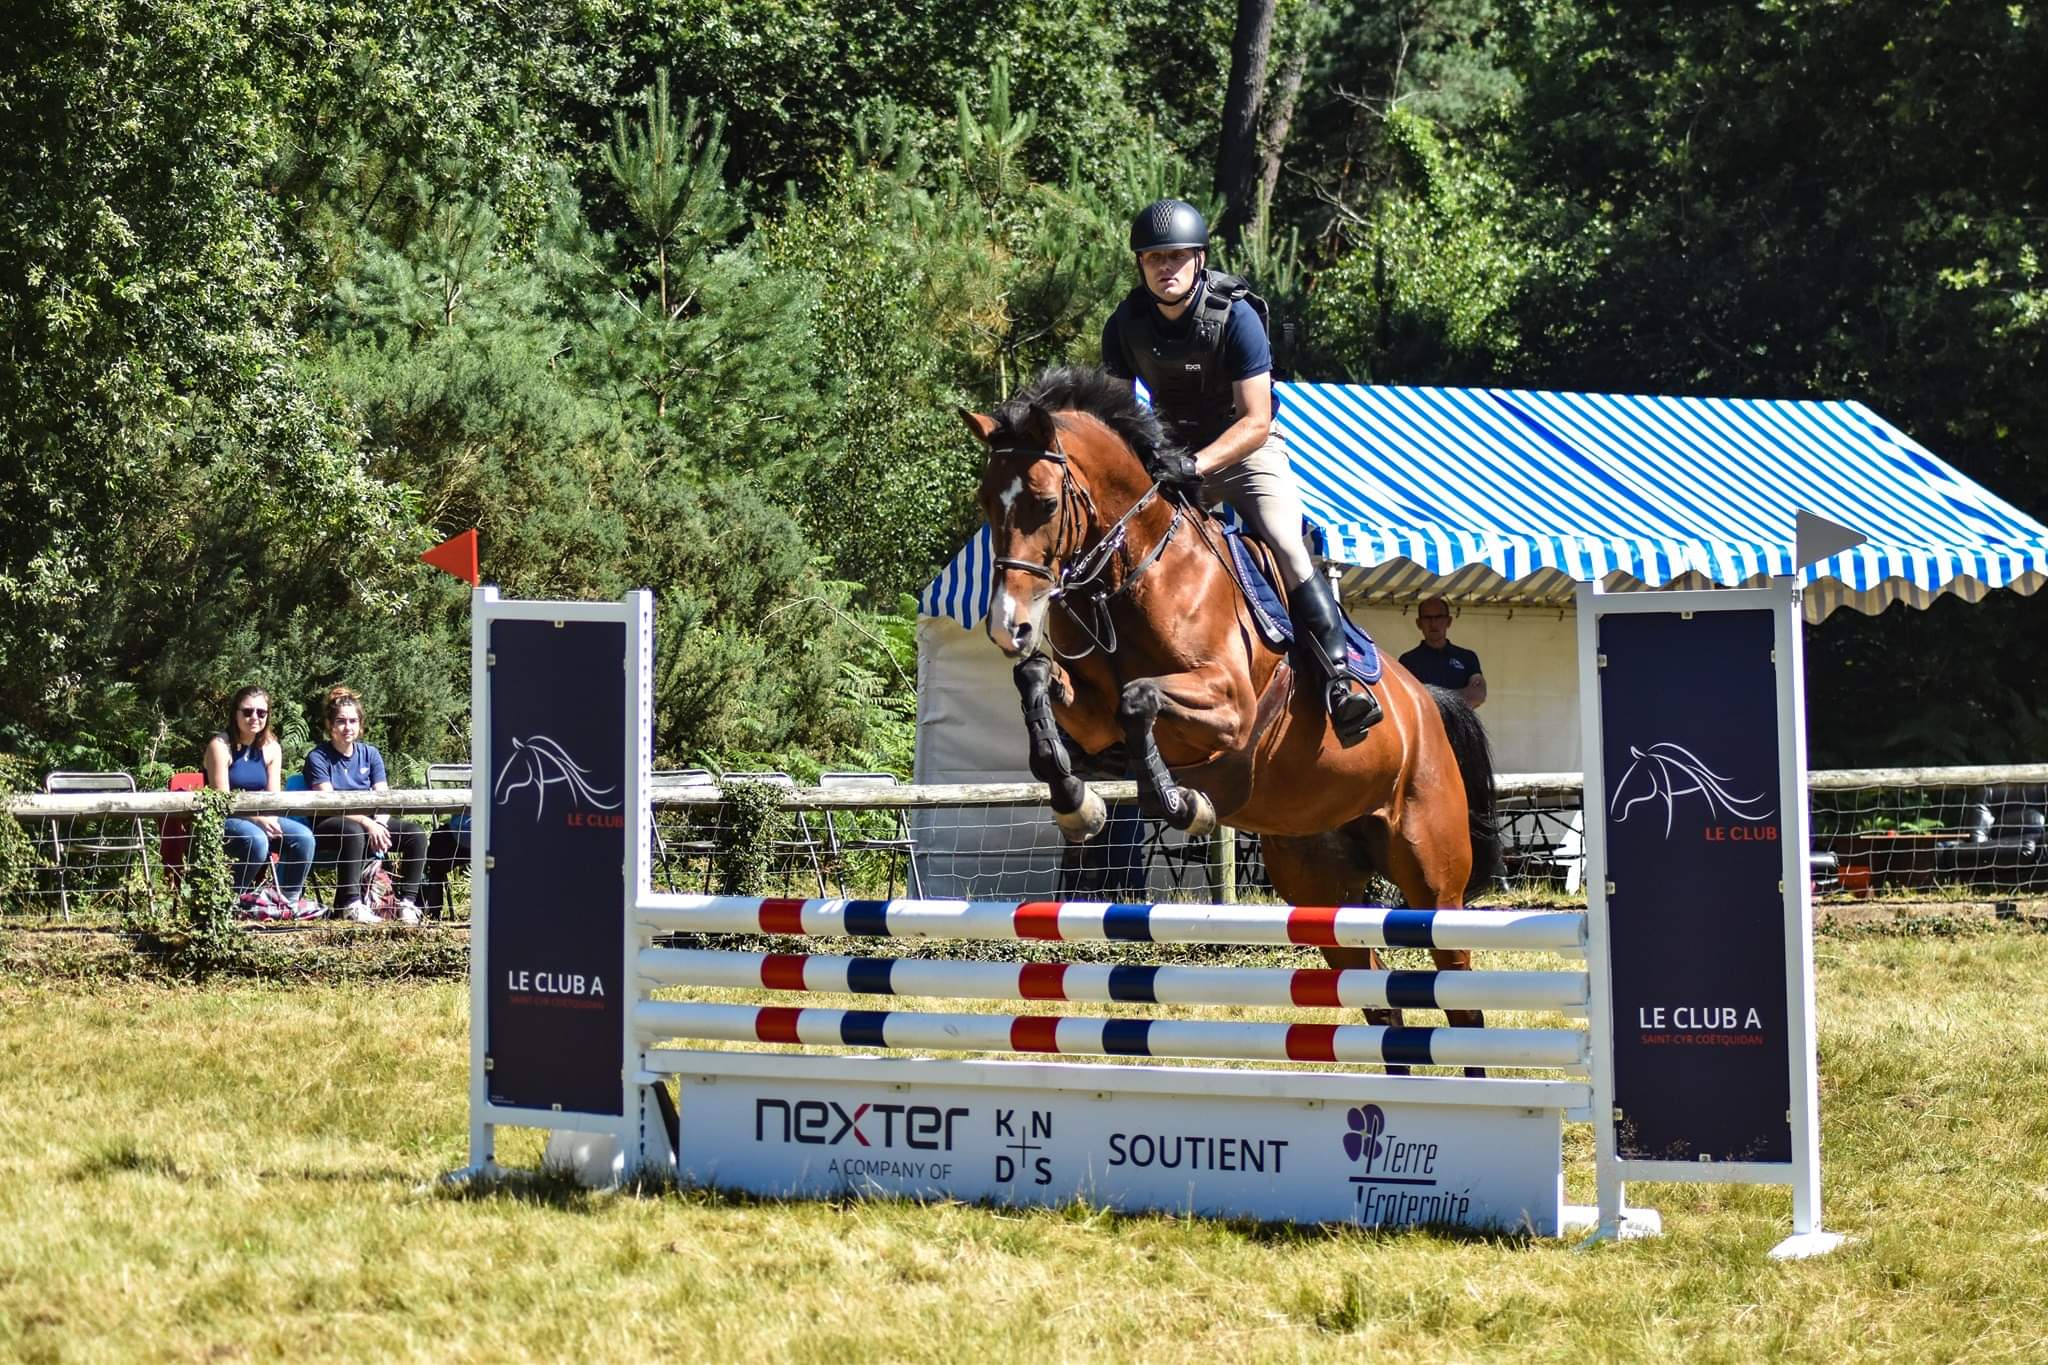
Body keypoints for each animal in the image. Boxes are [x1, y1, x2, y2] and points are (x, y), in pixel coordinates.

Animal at [958, 366, 1507, 1064]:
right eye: (986, 504)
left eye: (1045, 504)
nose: (1010, 626)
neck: (1136, 574)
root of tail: (1427, 705)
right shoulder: (1092, 712)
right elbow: (1038, 683)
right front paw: (1076, 800)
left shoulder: (1230, 709)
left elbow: (1141, 696)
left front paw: (1180, 802)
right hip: (1317, 882)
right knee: (1378, 998)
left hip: (1432, 879)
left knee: (1460, 998)